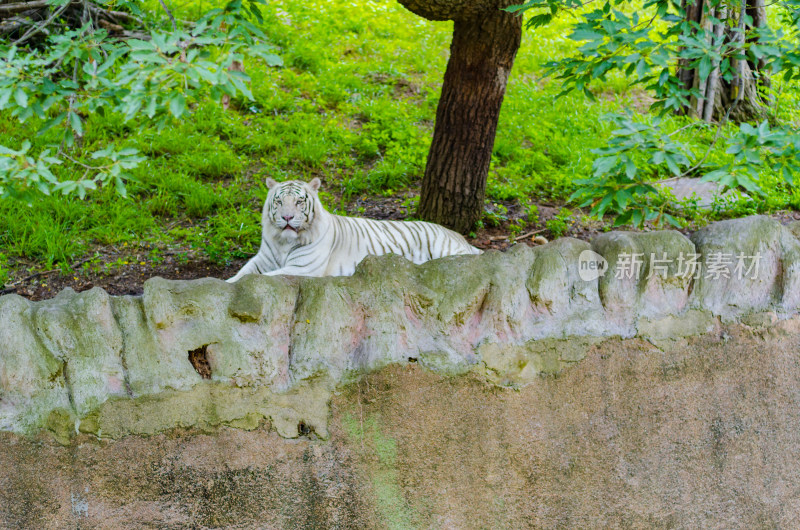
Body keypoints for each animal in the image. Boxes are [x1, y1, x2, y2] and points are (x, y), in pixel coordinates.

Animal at [228, 175, 484, 280]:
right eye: (279, 201)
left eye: (299, 201)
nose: (287, 217)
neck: (283, 242)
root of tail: (460, 236)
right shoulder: (262, 260)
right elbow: (241, 276)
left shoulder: (302, 268)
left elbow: (257, 279)